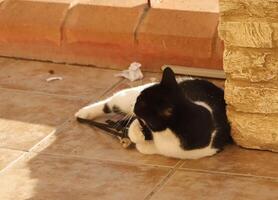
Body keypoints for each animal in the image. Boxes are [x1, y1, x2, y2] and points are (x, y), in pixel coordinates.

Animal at [75, 68, 231, 159]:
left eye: (141, 102)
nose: (134, 103)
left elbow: (149, 147)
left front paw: (140, 141)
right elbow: (135, 130)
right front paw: (135, 134)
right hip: (125, 98)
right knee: (112, 101)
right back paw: (83, 113)